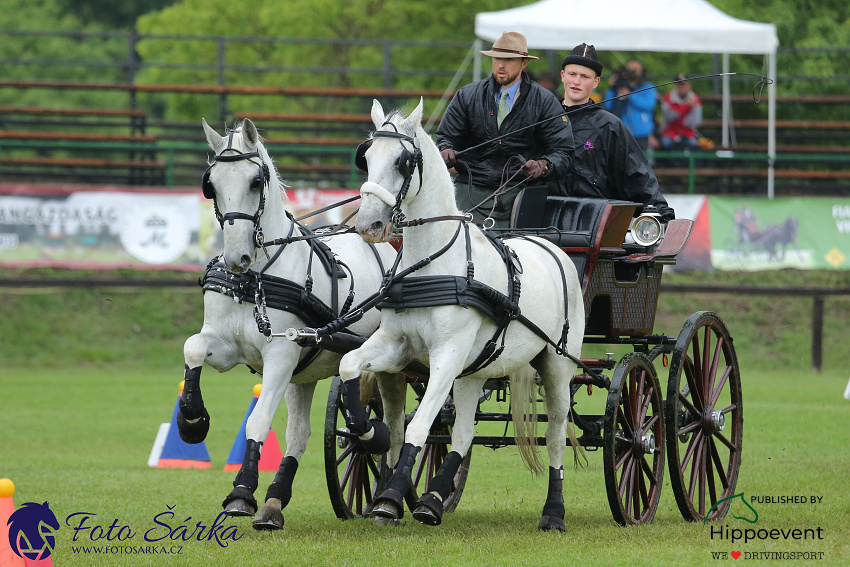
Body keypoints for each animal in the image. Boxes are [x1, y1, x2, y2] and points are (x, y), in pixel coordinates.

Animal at [177, 120, 402, 532]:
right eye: (210, 184)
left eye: (255, 182)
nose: (236, 258)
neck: (255, 278)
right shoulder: (226, 346)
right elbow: (193, 347)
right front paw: (192, 421)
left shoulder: (281, 354)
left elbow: (258, 421)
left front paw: (241, 492)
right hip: (306, 373)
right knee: (300, 433)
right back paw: (275, 503)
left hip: (391, 361)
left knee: (396, 424)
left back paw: (387, 490)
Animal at [336, 101, 584, 532]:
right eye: (365, 157)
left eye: (403, 161)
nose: (368, 225)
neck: (433, 264)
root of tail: (554, 247)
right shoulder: (397, 347)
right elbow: (350, 365)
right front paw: (371, 436)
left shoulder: (446, 356)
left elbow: (420, 424)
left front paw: (389, 497)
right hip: (475, 371)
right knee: (465, 432)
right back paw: (432, 501)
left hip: (557, 366)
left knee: (555, 433)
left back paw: (554, 512)